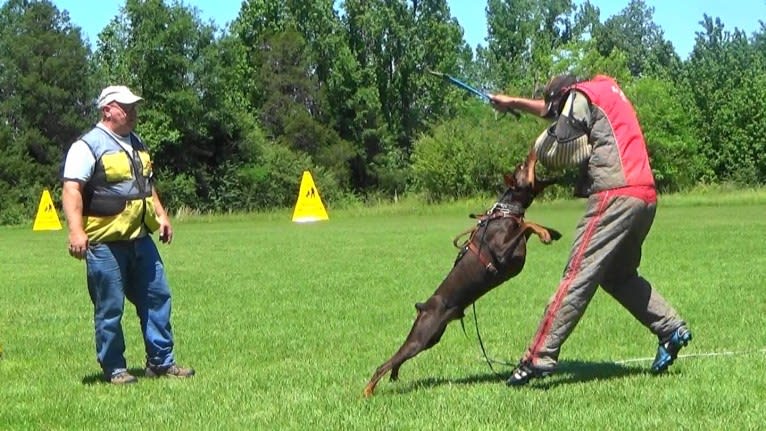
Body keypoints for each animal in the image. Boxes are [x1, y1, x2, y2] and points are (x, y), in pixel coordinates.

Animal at [364, 159, 560, 398]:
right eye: (522, 167)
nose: (530, 157)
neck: (505, 212)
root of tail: (424, 306)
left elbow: (527, 224)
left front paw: (551, 231)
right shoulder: (504, 253)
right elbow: (526, 224)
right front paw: (545, 233)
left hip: (431, 338)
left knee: (397, 360)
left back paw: (393, 376)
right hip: (421, 337)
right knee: (384, 364)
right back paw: (368, 390)